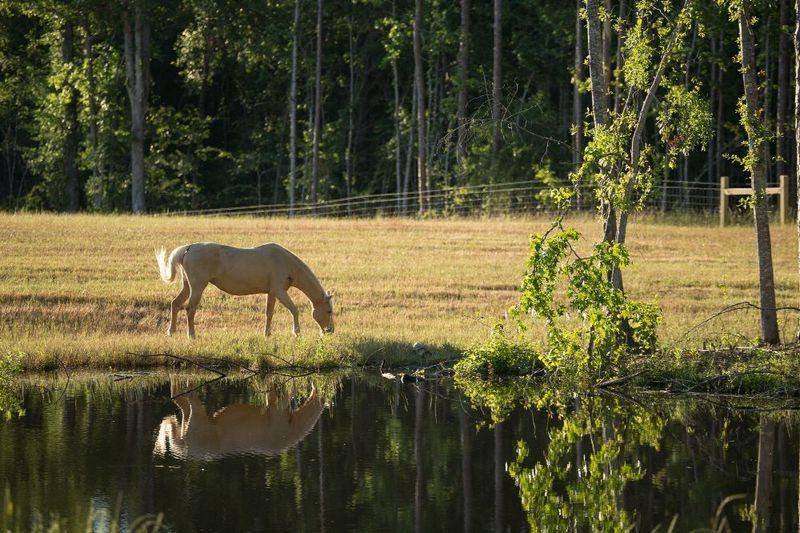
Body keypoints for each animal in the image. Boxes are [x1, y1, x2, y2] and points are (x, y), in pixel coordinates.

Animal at [155, 242, 334, 338]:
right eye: (329, 311)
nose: (330, 331)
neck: (285, 262)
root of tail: (188, 248)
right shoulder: (280, 292)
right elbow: (294, 310)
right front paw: (296, 332)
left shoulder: (272, 293)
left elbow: (269, 313)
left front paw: (267, 334)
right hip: (197, 287)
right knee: (190, 309)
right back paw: (191, 335)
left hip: (187, 286)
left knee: (175, 304)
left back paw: (171, 331)